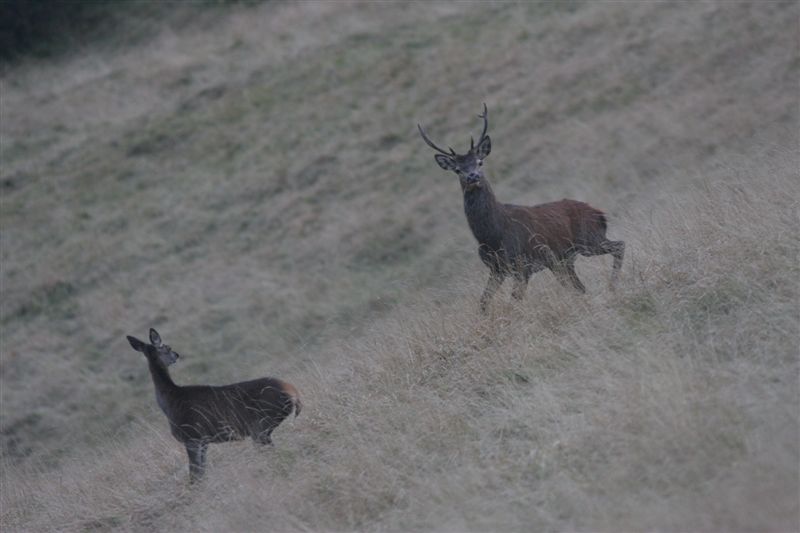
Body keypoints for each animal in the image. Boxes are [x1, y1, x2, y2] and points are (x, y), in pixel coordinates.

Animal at [126, 328, 301, 482]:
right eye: (168, 348)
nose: (176, 354)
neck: (170, 403)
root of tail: (293, 392)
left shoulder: (192, 437)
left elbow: (195, 476)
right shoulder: (203, 442)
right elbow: (200, 473)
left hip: (260, 426)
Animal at [418, 104, 624, 312]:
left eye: (479, 162)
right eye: (458, 170)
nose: (473, 176)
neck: (493, 235)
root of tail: (599, 213)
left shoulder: (523, 264)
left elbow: (514, 301)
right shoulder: (497, 269)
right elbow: (483, 302)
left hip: (588, 240)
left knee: (619, 245)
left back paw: (612, 285)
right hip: (564, 259)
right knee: (580, 287)